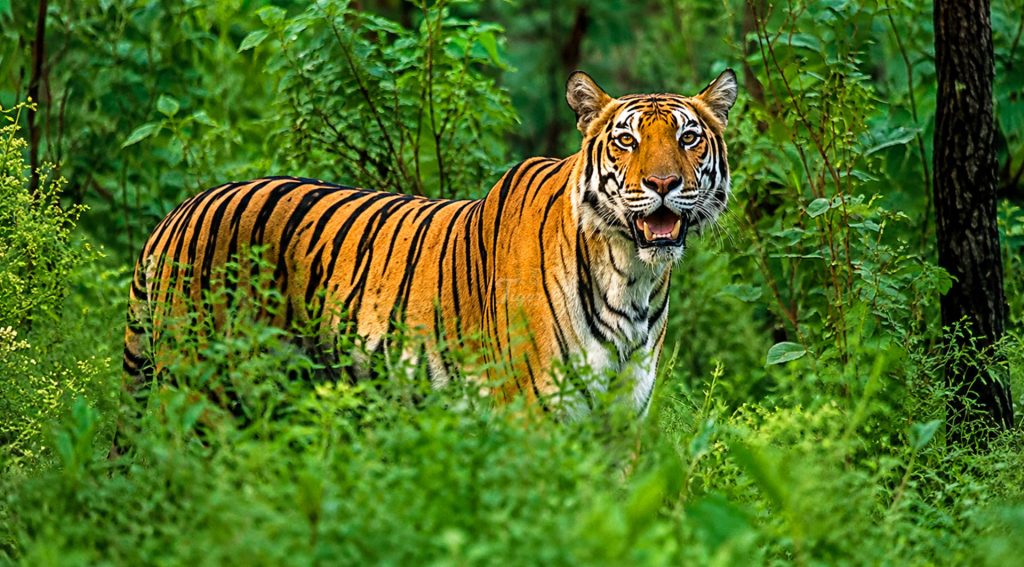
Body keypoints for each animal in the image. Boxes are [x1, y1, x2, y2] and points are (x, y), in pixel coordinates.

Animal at [122, 69, 738, 419]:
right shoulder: (532, 413)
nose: (663, 183)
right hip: (197, 386)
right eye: (626, 141)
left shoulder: (622, 421)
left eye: (688, 137)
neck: (632, 275)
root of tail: (178, 212)